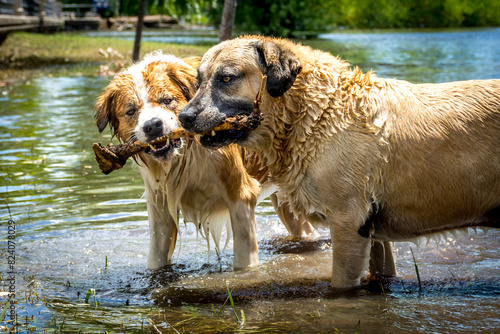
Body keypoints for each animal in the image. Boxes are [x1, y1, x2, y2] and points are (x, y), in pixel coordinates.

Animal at [94, 52, 312, 272]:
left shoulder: (240, 197)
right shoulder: (160, 208)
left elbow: (244, 259)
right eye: (131, 111)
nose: (153, 126)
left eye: (167, 100)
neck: (187, 155)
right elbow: (156, 257)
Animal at [180, 35, 500, 288]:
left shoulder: (349, 224)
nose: (185, 116)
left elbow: (340, 285)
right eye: (198, 80)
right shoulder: (374, 234)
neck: (312, 114)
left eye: (226, 78)